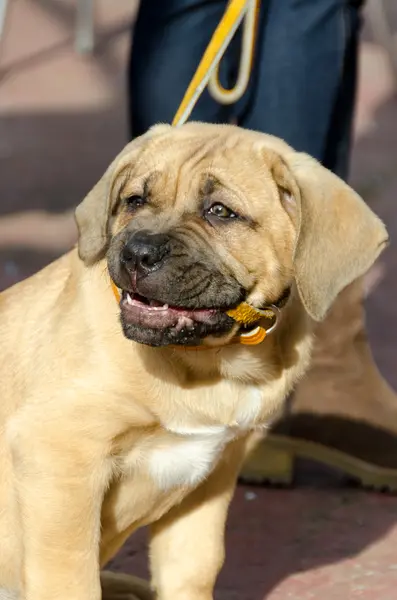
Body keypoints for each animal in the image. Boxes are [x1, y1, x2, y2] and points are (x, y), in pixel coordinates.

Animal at [0, 123, 386, 600]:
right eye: (135, 200)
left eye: (220, 211)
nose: (137, 254)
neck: (210, 365)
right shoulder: (59, 454)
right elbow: (71, 577)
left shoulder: (209, 482)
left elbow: (196, 568)